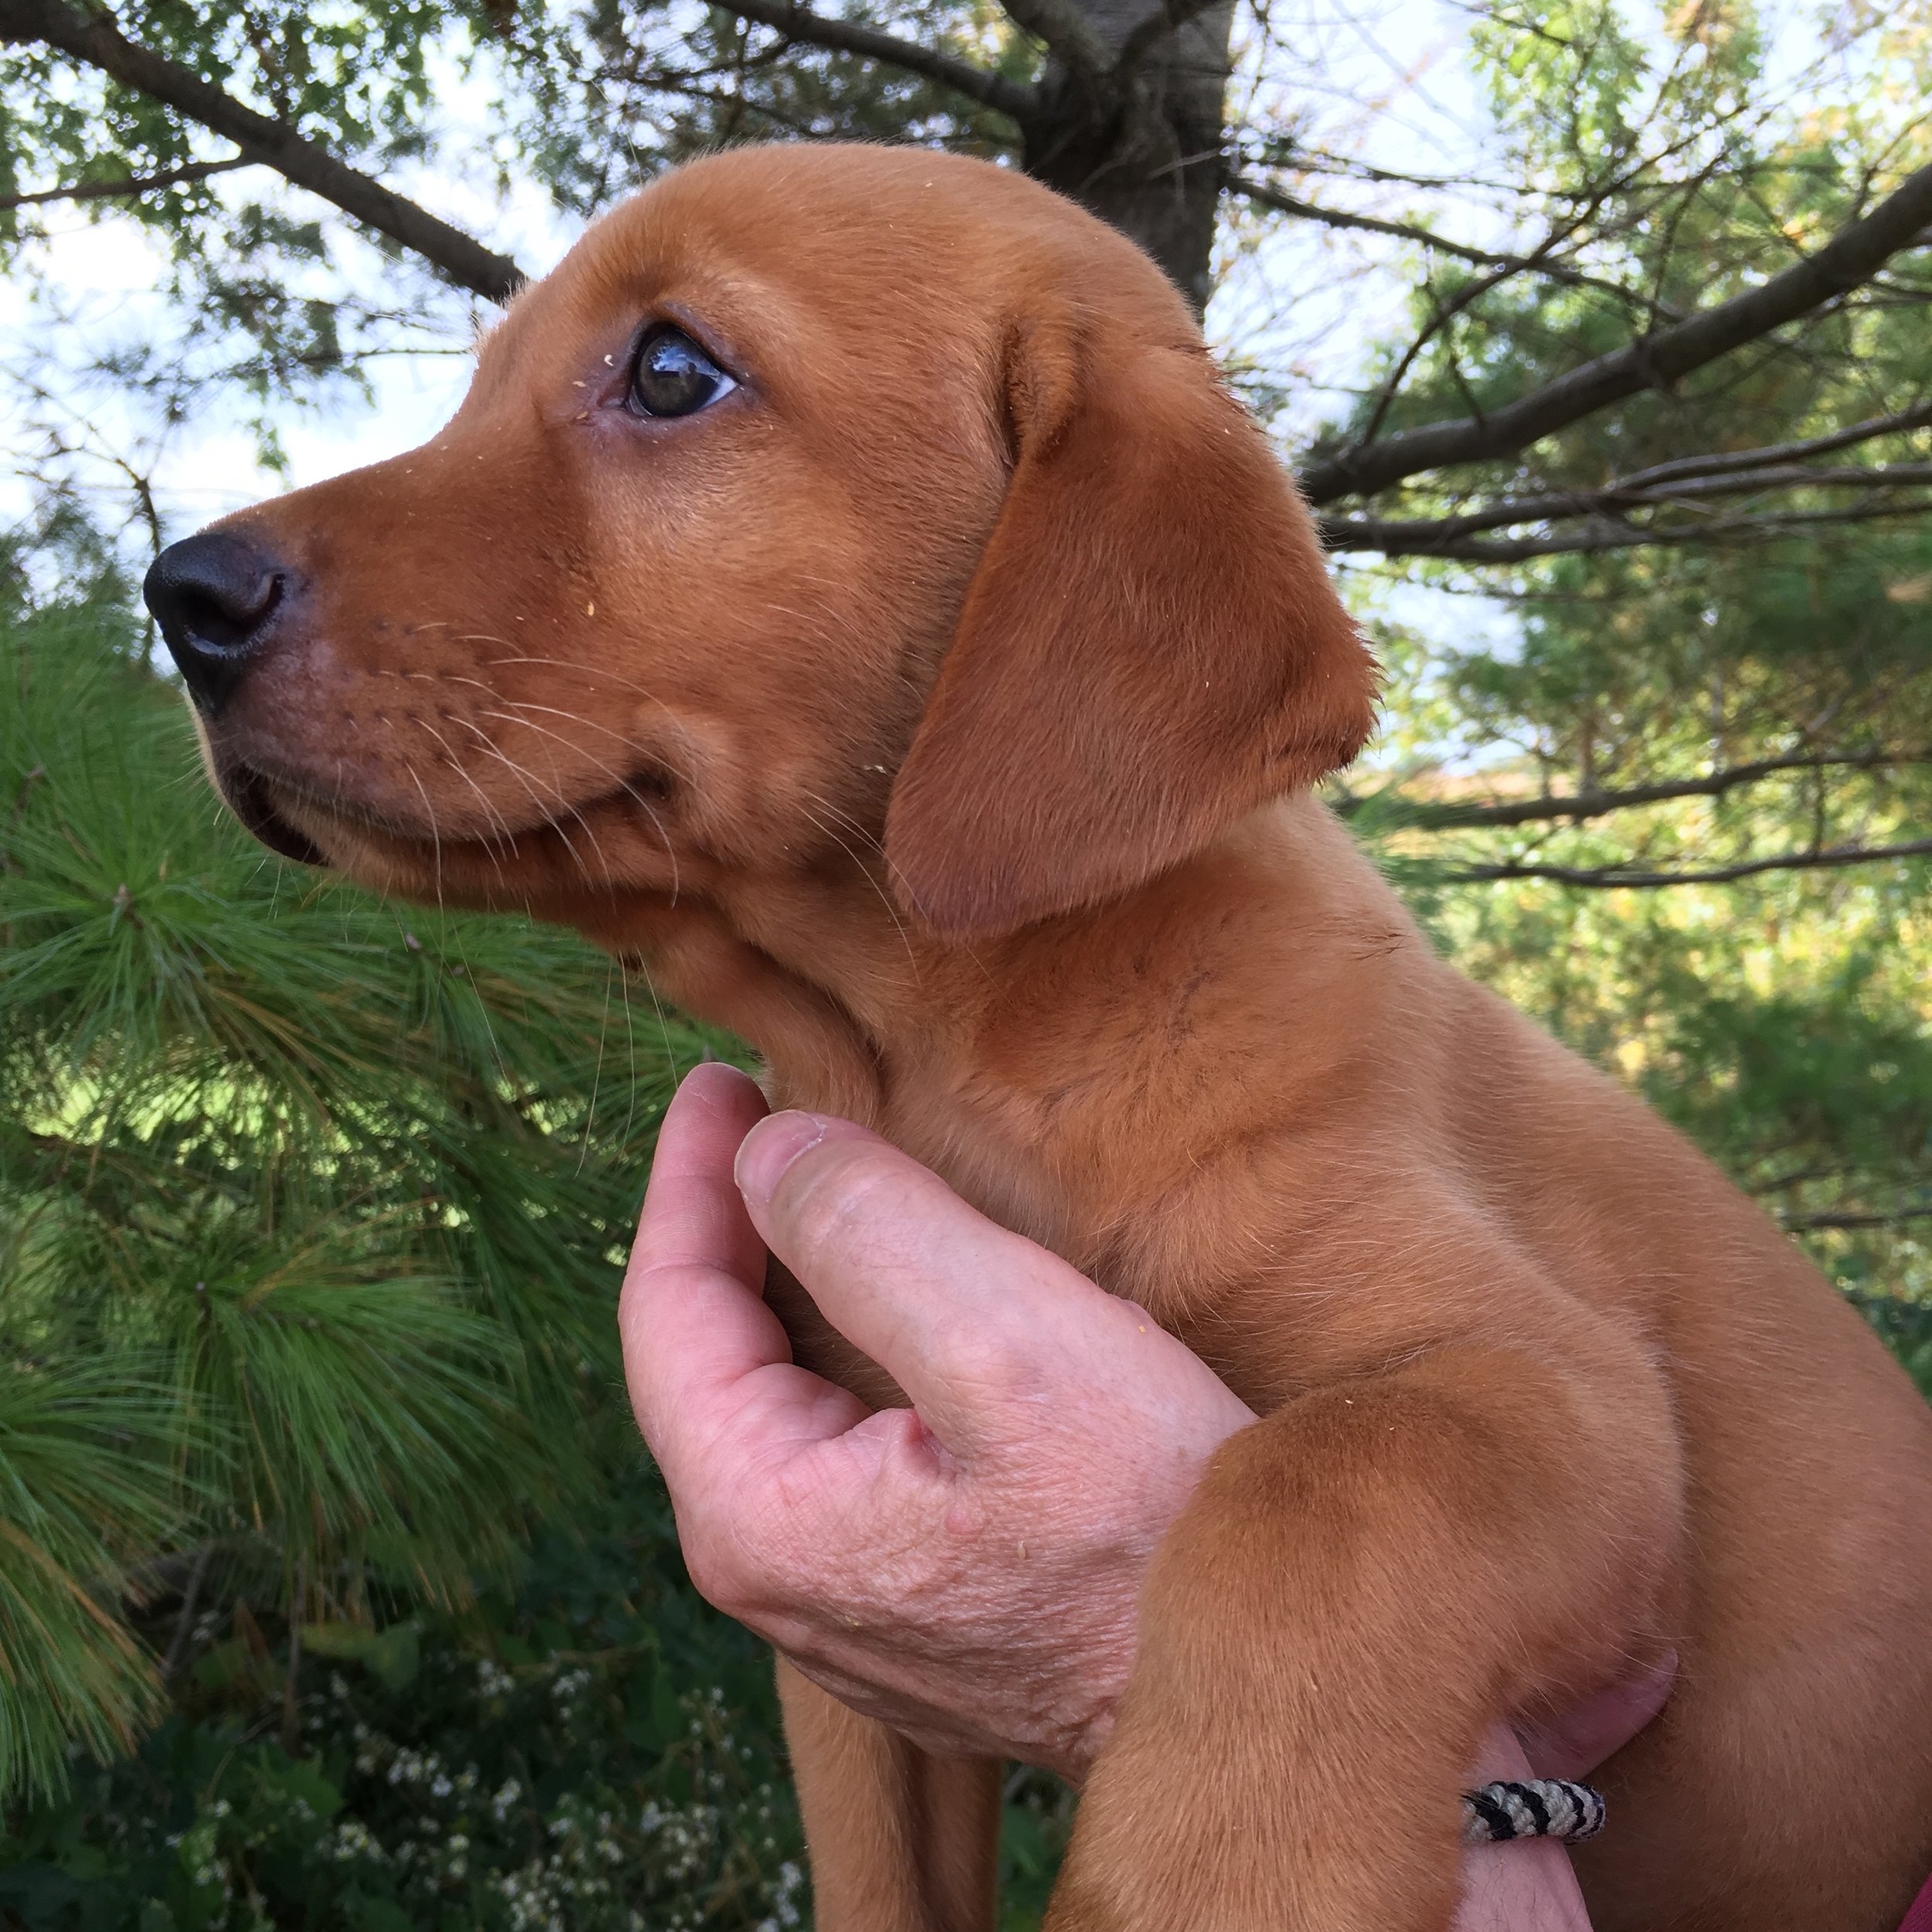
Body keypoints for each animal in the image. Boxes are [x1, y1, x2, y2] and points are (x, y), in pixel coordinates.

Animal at [143, 143, 1932, 1924]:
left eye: (668, 372)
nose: (179, 593)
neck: (934, 1065)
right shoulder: (854, 1661)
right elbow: (881, 1882)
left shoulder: (1567, 1401)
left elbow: (1319, 1490)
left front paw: (1215, 1873)